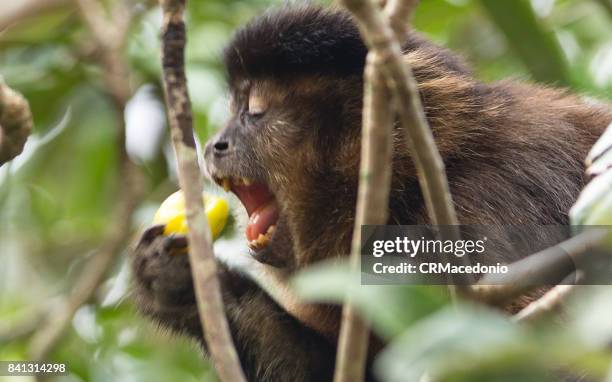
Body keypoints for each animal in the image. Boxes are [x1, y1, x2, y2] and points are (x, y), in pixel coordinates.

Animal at [131, 3, 612, 382]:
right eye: (235, 109)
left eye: (255, 112)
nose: (216, 143)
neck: (409, 192)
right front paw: (183, 285)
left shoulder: (489, 207)